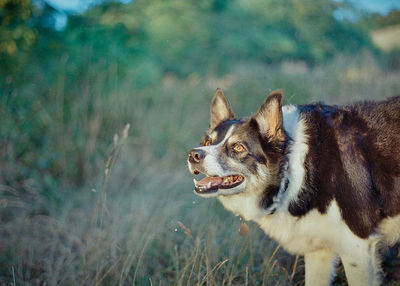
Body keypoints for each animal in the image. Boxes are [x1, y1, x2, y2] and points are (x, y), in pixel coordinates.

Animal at [188, 88, 400, 284]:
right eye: (208, 141)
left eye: (238, 147)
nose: (193, 155)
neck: (294, 170)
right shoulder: (320, 250)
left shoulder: (357, 248)